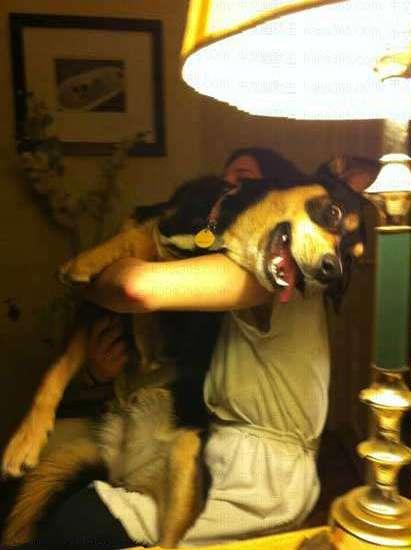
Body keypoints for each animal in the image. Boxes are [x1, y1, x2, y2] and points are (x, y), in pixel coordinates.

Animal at [1, 156, 376, 547]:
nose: (332, 273)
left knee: (169, 539)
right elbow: (56, 369)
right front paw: (24, 441)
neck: (211, 225)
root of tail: (123, 470)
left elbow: (142, 247)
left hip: (186, 462)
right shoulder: (98, 303)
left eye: (350, 260)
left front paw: (90, 260)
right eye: (333, 212)